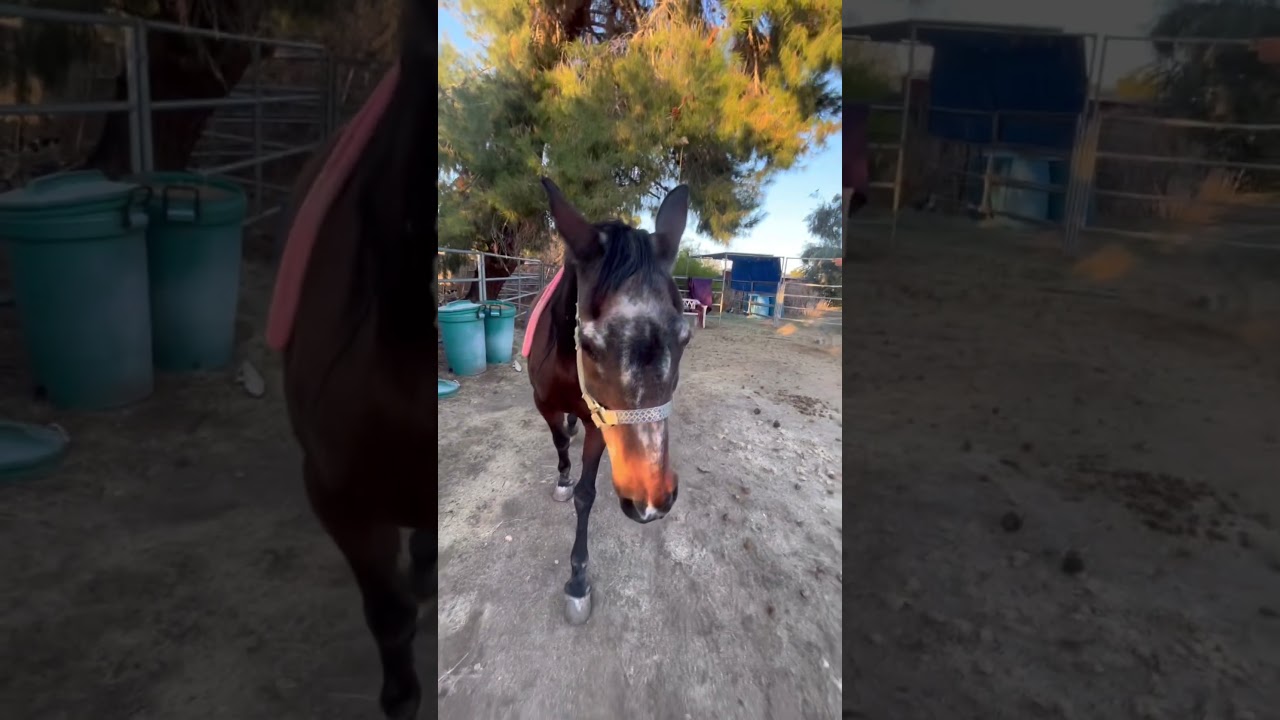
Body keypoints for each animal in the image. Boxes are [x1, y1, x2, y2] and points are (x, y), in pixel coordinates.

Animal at [526, 178, 692, 625]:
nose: (652, 501)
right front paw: (563, 480)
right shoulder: (544, 404)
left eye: (685, 338)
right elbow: (560, 444)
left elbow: (586, 494)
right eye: (589, 344)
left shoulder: (600, 423)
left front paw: (578, 580)